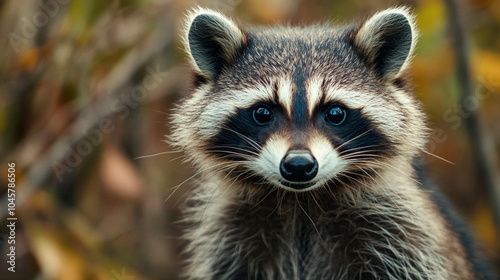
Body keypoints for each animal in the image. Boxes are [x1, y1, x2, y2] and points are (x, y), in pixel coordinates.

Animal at [169, 6, 496, 280]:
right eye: (262, 113)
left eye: (335, 113)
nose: (298, 165)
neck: (302, 202)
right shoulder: (228, 240)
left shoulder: (406, 236)